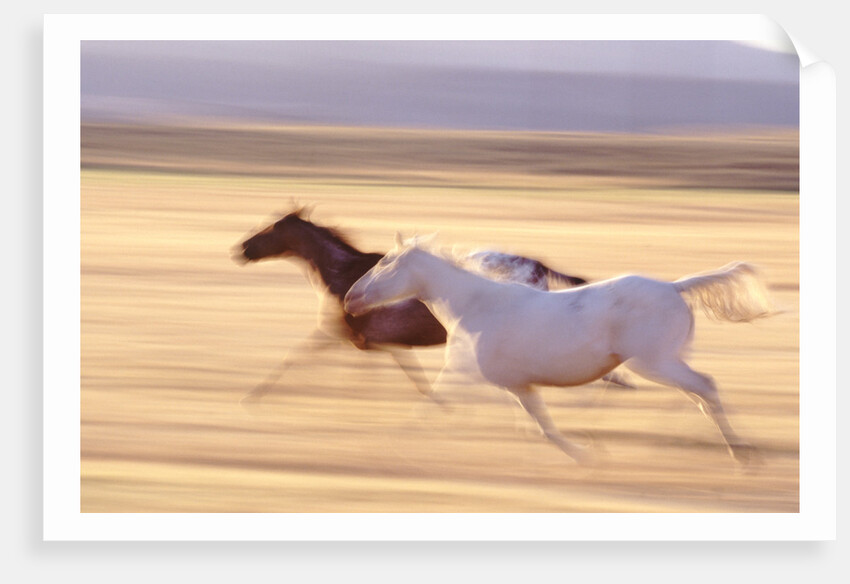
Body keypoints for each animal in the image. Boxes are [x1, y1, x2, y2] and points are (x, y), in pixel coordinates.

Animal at [235, 208, 610, 406]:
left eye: (270, 228)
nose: (240, 249)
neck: (343, 274)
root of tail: (538, 266)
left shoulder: (354, 337)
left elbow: (295, 357)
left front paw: (252, 396)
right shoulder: (379, 344)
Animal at [344, 234, 775, 465]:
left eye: (385, 262)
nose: (350, 299)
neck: (476, 306)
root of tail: (674, 286)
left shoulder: (462, 374)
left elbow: (426, 409)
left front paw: (384, 448)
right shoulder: (518, 386)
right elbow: (542, 427)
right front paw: (587, 453)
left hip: (654, 364)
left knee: (706, 388)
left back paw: (743, 454)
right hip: (668, 361)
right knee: (699, 396)